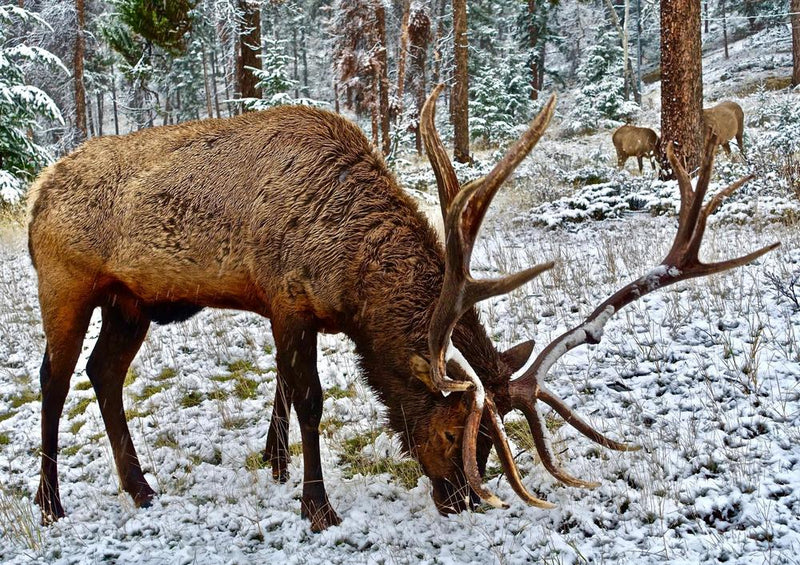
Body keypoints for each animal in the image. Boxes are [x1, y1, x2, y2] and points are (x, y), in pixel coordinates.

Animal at [28, 83, 780, 528]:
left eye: (490, 443)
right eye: (454, 435)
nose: (460, 500)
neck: (348, 271)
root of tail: (38, 190)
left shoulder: (291, 309)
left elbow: (282, 394)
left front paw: (275, 467)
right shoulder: (287, 300)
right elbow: (308, 399)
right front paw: (317, 504)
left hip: (130, 302)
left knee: (103, 374)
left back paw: (140, 487)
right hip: (64, 283)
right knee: (54, 378)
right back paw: (51, 500)